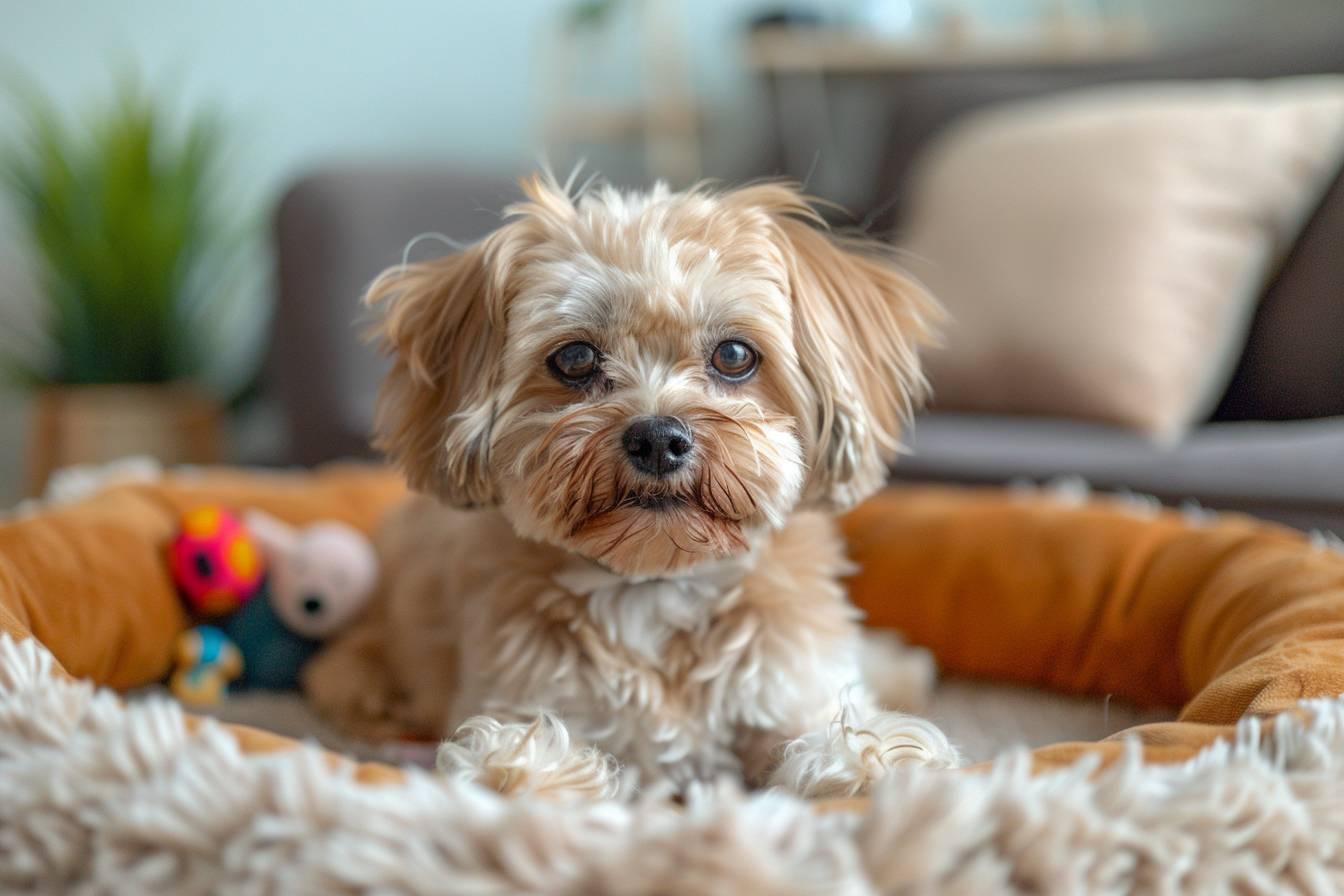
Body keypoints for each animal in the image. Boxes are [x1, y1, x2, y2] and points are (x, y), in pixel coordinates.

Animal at [303, 174, 959, 799]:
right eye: (574, 359)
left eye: (735, 355)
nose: (658, 439)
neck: (655, 587)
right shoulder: (518, 692)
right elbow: (517, 751)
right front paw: (527, 773)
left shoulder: (789, 687)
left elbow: (839, 730)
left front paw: (878, 763)